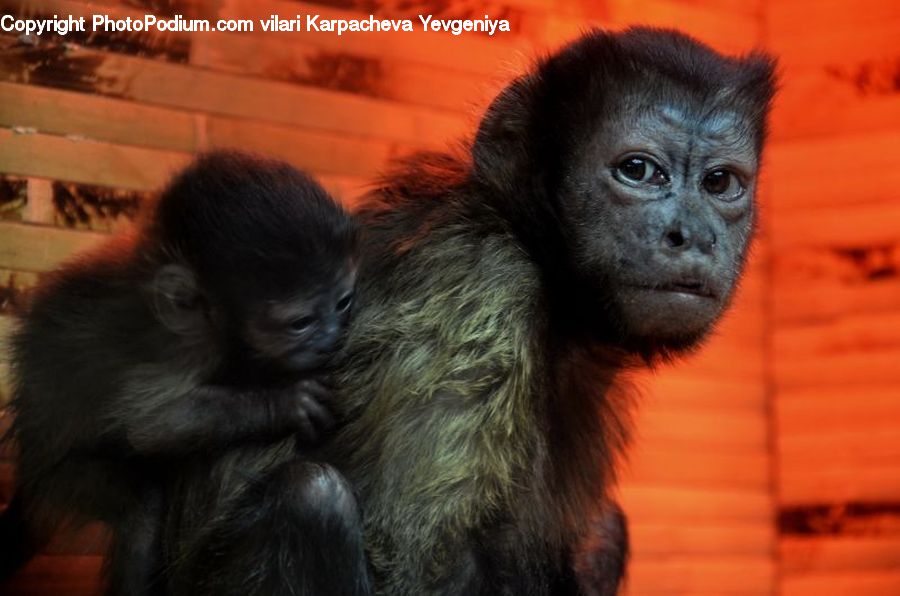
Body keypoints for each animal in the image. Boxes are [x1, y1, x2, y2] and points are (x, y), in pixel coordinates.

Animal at [0, 150, 368, 595]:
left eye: (343, 302)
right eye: (301, 323)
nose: (331, 338)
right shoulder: (185, 342)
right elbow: (151, 425)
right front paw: (287, 402)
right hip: (62, 480)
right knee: (139, 507)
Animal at [156, 27, 776, 595]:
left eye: (720, 182)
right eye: (639, 171)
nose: (693, 235)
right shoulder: (477, 299)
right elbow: (416, 569)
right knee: (310, 497)